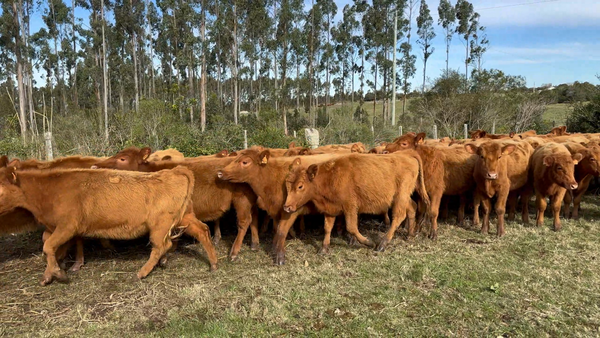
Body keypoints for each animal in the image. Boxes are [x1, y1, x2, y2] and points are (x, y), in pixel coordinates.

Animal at [0, 164, 204, 286]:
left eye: (0, 191)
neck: (48, 191)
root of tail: (174, 171)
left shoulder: (67, 226)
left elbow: (48, 246)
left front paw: (59, 273)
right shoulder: (54, 227)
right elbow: (49, 246)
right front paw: (49, 274)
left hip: (159, 226)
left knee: (162, 245)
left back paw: (142, 272)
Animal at [92, 147, 256, 260]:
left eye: (123, 159)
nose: (95, 166)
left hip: (241, 199)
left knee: (244, 222)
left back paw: (234, 252)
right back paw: (254, 243)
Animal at [284, 152, 428, 251]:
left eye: (300, 186)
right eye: (287, 184)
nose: (287, 207)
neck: (330, 176)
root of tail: (407, 155)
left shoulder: (350, 207)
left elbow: (351, 227)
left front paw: (369, 242)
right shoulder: (330, 209)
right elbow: (327, 227)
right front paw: (324, 248)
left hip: (400, 196)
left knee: (399, 216)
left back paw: (382, 243)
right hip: (403, 198)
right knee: (412, 207)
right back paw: (410, 234)